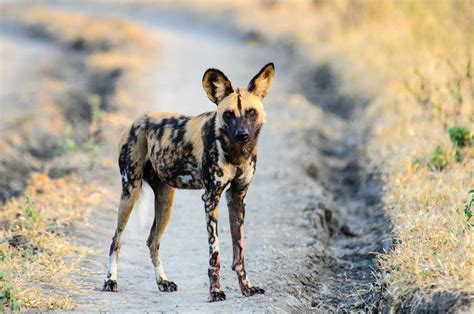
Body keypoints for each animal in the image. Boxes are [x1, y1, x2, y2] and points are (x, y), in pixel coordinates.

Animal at [103, 62, 274, 300]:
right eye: (229, 114)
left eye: (251, 112)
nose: (242, 135)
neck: (236, 152)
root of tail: (137, 120)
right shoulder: (211, 198)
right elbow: (215, 254)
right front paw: (216, 291)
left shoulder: (237, 196)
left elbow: (239, 252)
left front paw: (247, 287)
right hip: (130, 191)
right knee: (115, 240)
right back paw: (110, 280)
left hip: (166, 201)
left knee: (152, 241)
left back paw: (163, 282)